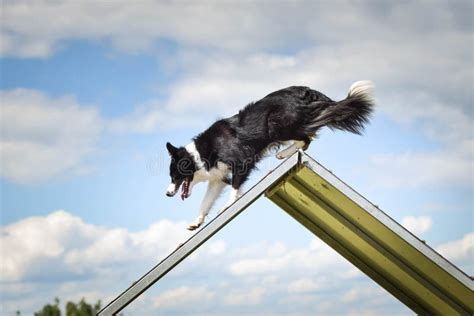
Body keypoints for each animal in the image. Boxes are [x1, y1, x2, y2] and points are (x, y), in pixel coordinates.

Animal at [167, 81, 374, 230]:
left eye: (174, 176)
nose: (167, 194)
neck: (201, 153)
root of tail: (305, 91)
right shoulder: (218, 177)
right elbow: (205, 201)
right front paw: (196, 221)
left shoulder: (241, 161)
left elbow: (235, 186)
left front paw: (227, 206)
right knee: (308, 137)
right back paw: (285, 153)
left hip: (275, 125)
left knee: (306, 138)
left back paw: (283, 153)